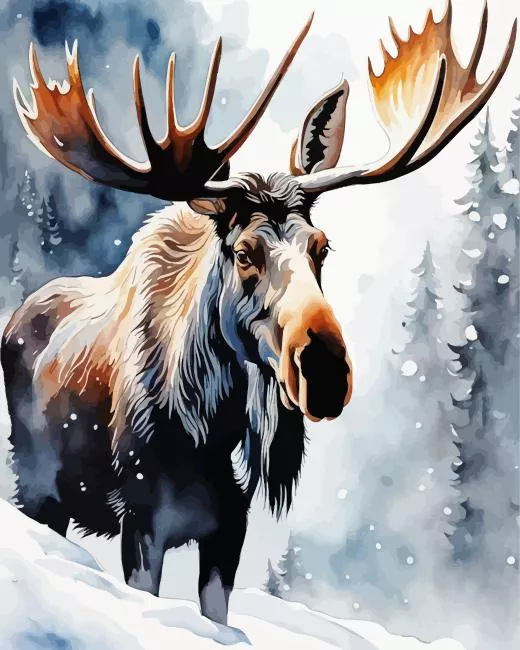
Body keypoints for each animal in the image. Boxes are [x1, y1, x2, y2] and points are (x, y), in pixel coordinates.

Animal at [2, 2, 515, 625]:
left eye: (322, 247)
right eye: (244, 252)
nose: (324, 369)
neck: (209, 427)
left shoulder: (230, 528)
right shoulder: (141, 521)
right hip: (37, 487)